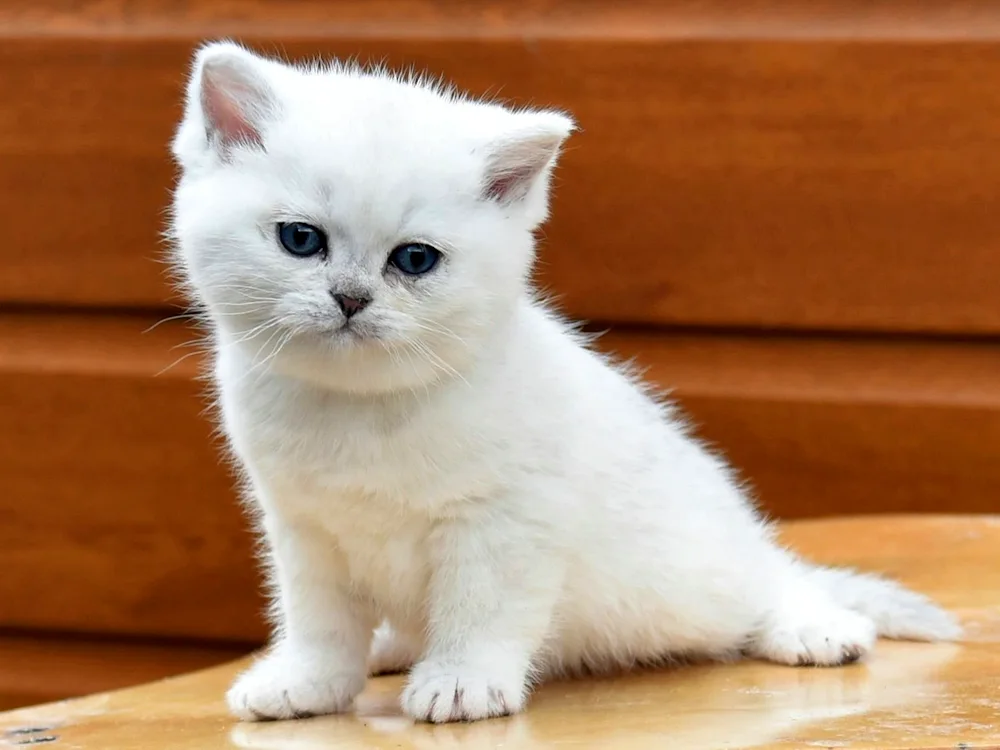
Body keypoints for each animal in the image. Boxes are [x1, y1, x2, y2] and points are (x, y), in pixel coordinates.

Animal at [172, 42, 960, 728]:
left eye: (415, 259)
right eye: (300, 240)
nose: (350, 298)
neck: (362, 408)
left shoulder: (505, 520)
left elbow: (480, 608)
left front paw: (460, 681)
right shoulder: (303, 528)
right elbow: (319, 620)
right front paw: (309, 682)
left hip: (709, 573)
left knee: (773, 579)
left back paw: (813, 627)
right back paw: (391, 646)